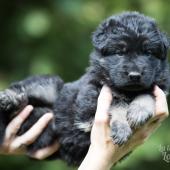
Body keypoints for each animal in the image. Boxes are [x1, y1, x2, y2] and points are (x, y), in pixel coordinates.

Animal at [0, 11, 170, 166]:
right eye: (119, 53)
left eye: (148, 53)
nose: (135, 75)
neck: (128, 91)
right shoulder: (93, 98)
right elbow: (117, 105)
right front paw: (122, 128)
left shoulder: (159, 87)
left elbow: (148, 93)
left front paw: (139, 110)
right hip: (51, 87)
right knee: (22, 91)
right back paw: (10, 100)